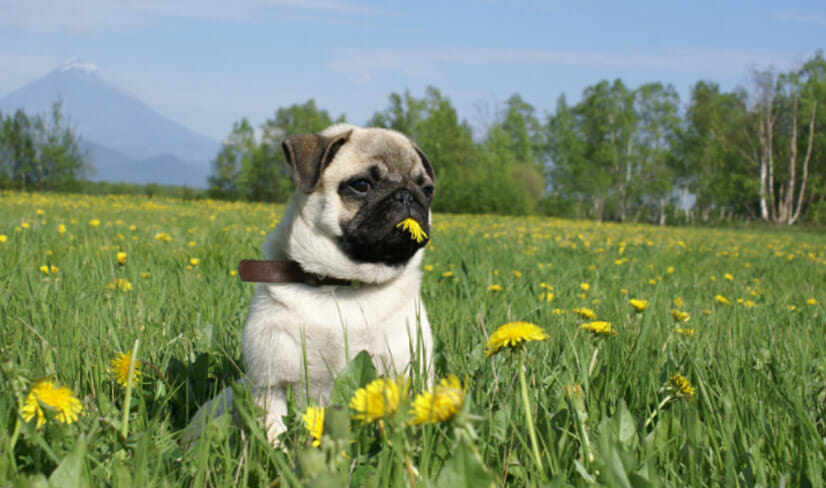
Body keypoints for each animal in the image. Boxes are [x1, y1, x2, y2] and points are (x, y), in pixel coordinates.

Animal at [185, 124, 432, 444]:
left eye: (427, 190)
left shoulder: (409, 374)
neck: (343, 285)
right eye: (362, 185)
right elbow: (273, 435)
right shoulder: (272, 386)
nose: (407, 196)